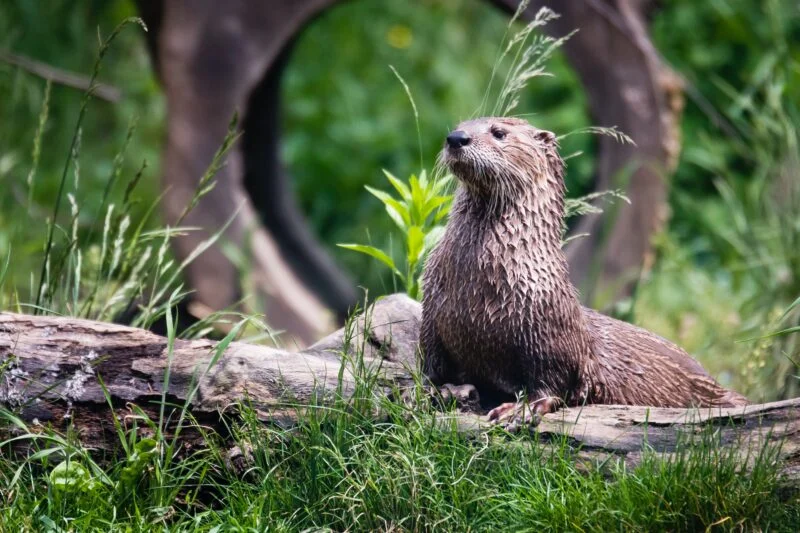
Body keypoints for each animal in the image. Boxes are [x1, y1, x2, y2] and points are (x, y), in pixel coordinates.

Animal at [421, 117, 747, 425]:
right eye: (460, 125)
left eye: (499, 132)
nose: (457, 138)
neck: (478, 286)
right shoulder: (432, 314)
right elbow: (431, 365)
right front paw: (437, 391)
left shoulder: (550, 332)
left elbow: (553, 382)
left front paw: (520, 410)